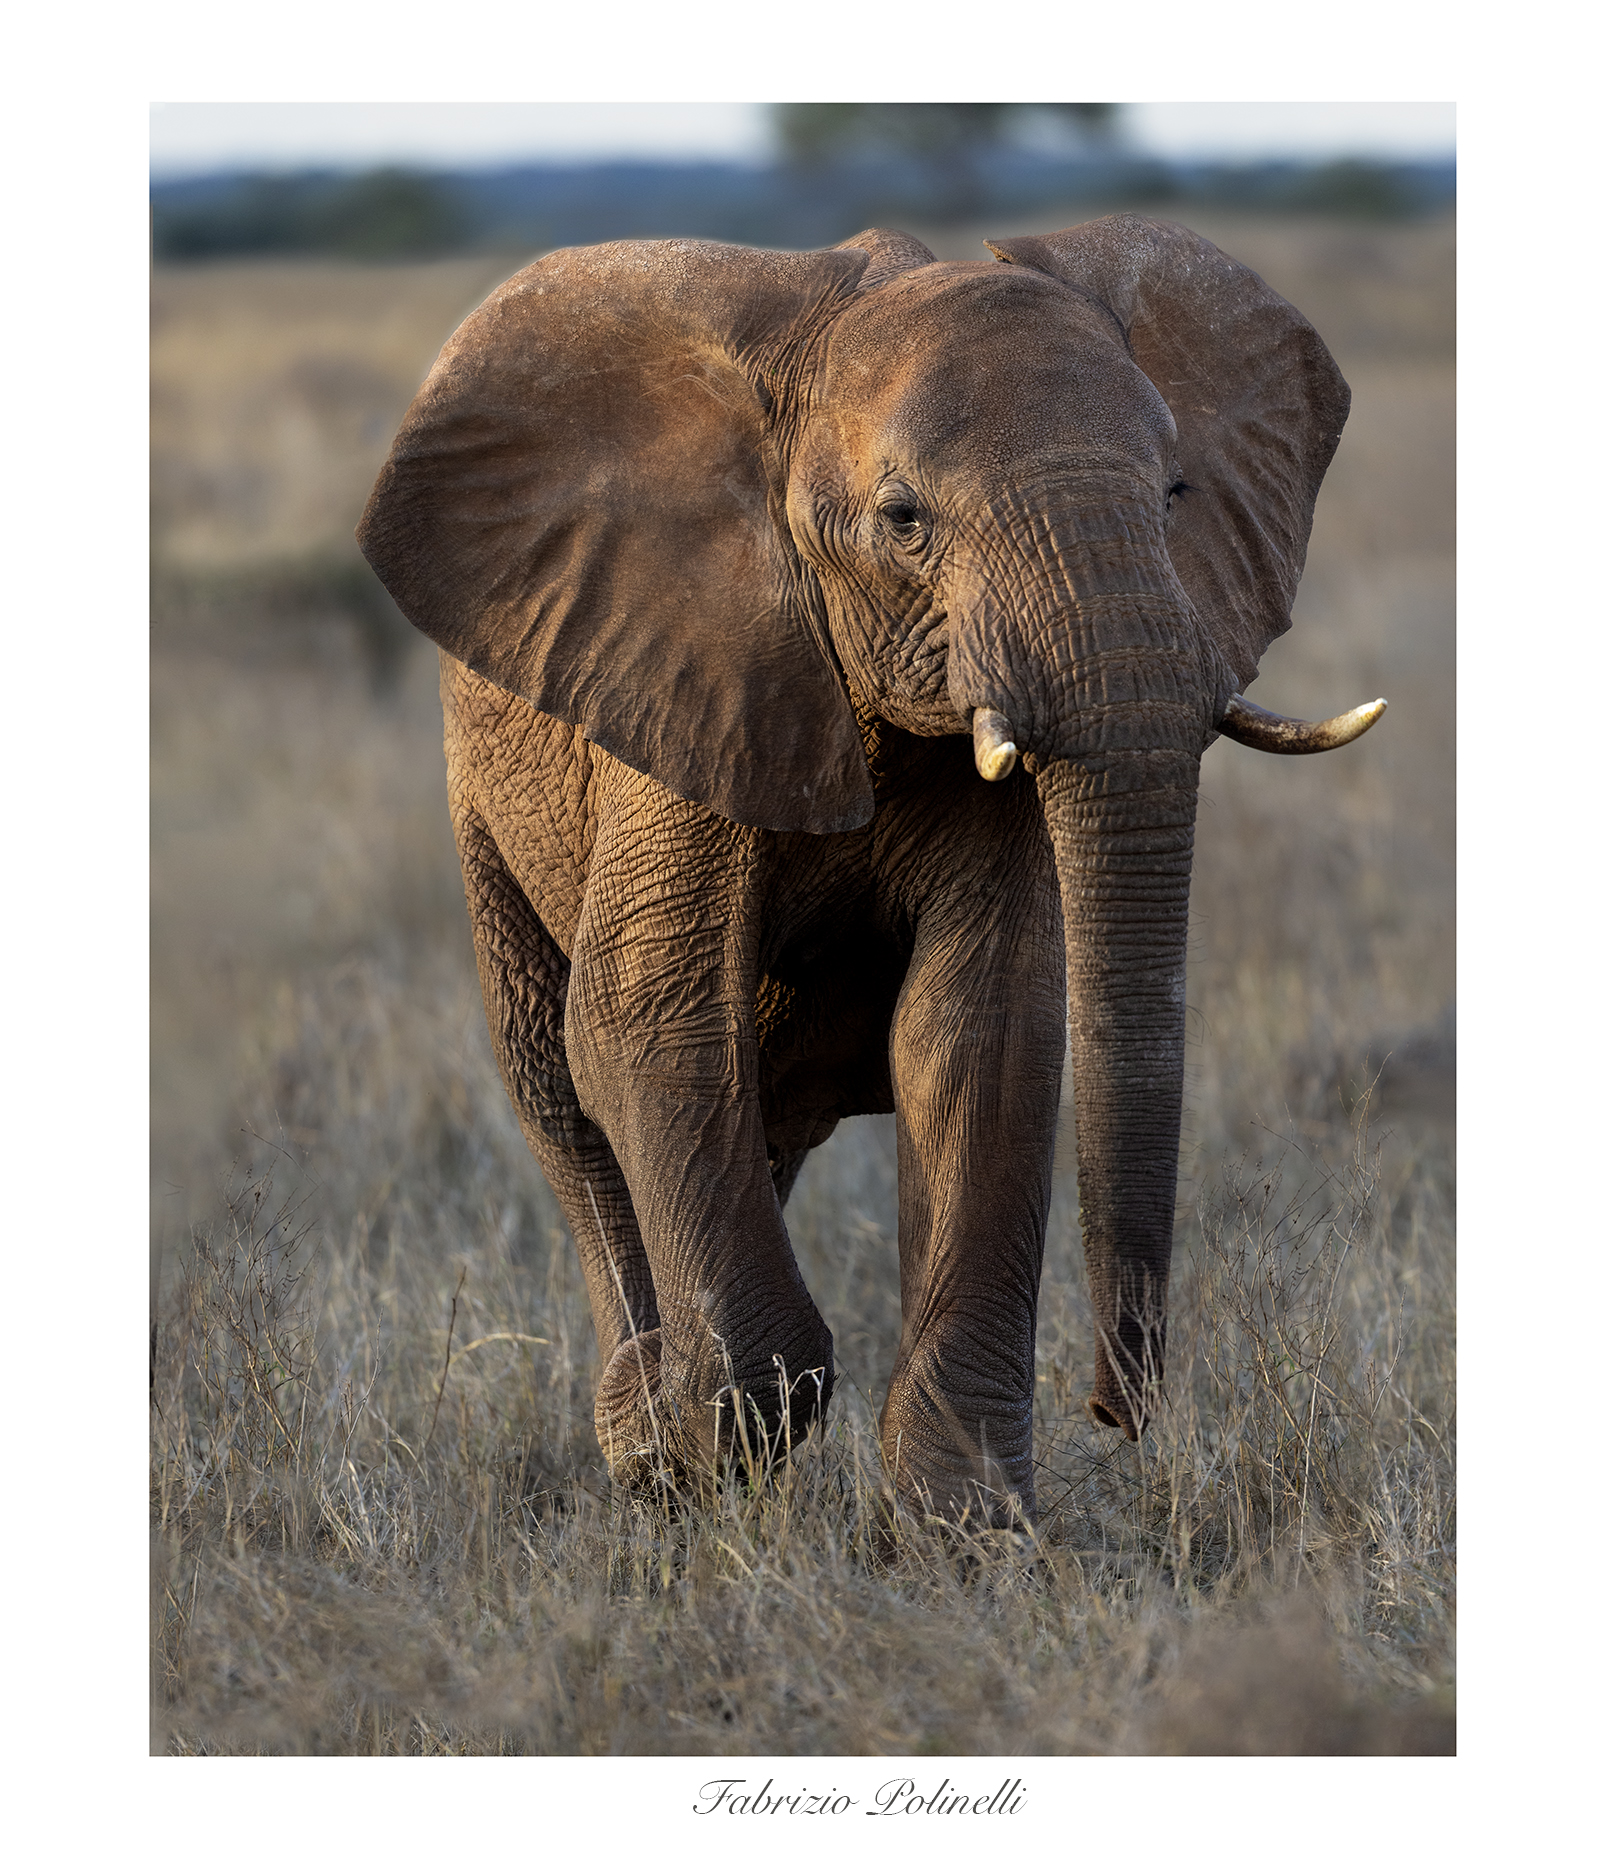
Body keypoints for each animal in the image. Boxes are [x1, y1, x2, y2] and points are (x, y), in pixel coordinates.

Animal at [357, 215, 1384, 1523]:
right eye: (903, 519)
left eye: (1174, 493)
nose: (1117, 1408)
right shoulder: (688, 674)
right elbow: (646, 1017)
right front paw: (702, 1445)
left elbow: (974, 1027)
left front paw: (963, 1528)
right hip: (485, 795)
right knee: (558, 1086)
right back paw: (641, 1435)